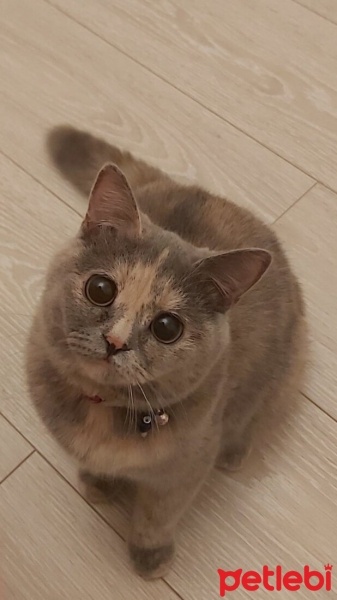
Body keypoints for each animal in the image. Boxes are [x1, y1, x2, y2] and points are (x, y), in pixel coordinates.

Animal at [26, 127, 304, 580]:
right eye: (100, 289)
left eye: (167, 328)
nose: (116, 341)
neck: (103, 410)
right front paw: (97, 483)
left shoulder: (185, 468)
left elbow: (158, 514)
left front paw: (149, 556)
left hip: (283, 365)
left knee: (255, 410)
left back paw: (235, 451)